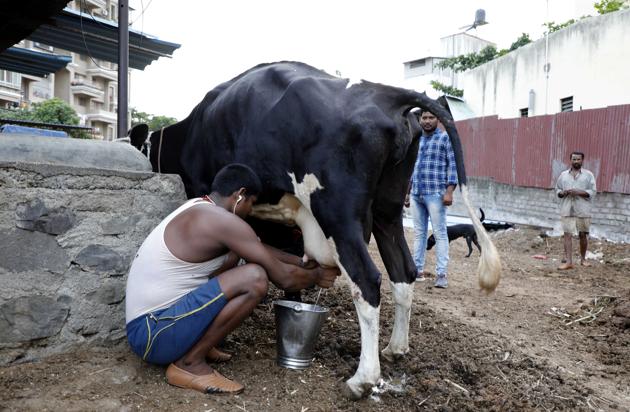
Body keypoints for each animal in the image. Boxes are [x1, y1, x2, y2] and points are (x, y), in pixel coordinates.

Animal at [135, 62, 504, 400]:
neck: (192, 129)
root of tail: (384, 93)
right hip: (388, 210)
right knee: (403, 272)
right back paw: (396, 349)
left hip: (337, 213)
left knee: (367, 280)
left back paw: (362, 380)